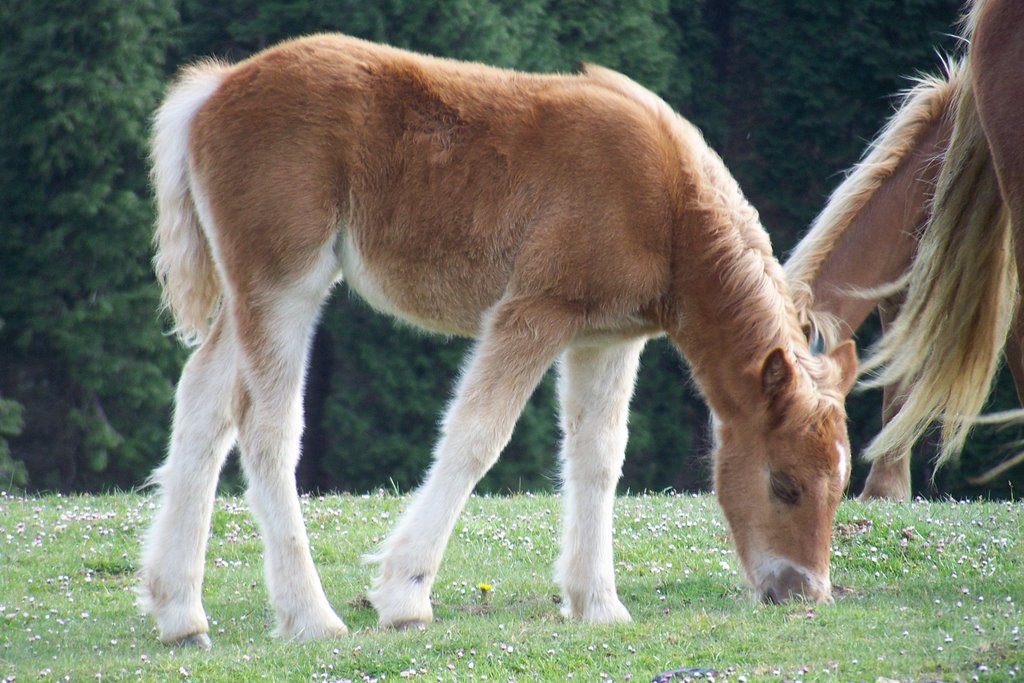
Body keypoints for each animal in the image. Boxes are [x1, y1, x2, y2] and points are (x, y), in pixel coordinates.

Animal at [136, 36, 856, 647]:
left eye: (839, 487)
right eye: (785, 484)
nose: (804, 594)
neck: (669, 203)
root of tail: (216, 86)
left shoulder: (607, 338)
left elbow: (598, 457)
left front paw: (597, 603)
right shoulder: (535, 310)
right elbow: (477, 436)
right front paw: (405, 594)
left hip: (247, 296)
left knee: (202, 409)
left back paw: (179, 613)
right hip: (285, 284)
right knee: (265, 429)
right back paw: (310, 616)